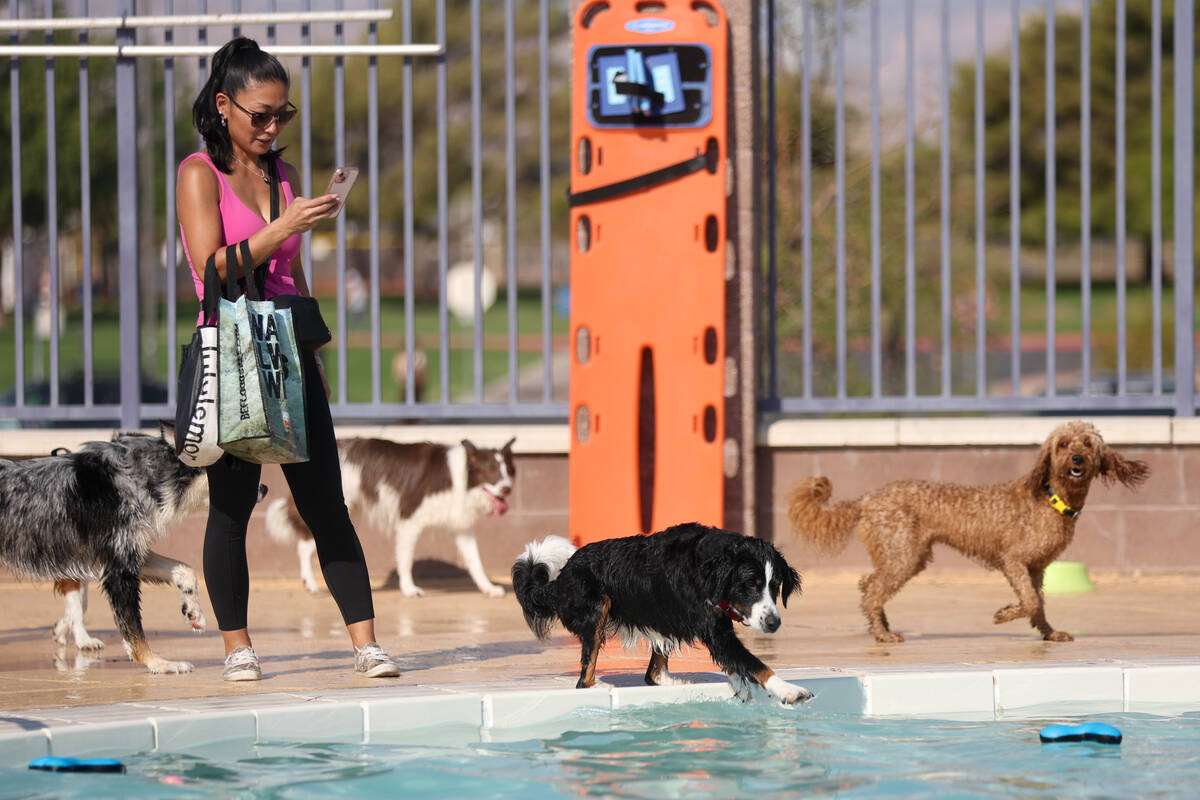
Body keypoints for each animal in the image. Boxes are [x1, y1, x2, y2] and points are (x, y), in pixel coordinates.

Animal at [0, 431, 210, 676]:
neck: (136, 475)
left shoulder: (130, 554)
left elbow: (185, 570)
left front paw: (193, 612)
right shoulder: (119, 572)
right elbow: (134, 631)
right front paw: (159, 663)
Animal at [267, 438, 516, 599]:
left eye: (508, 471)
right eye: (491, 471)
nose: (507, 489)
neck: (460, 478)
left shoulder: (461, 527)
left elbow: (475, 561)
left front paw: (488, 587)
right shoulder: (409, 520)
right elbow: (405, 559)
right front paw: (408, 588)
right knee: (303, 546)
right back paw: (310, 582)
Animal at [511, 525, 811, 705]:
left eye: (775, 586)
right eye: (751, 585)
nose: (773, 622)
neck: (707, 568)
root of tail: (559, 580)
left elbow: (737, 661)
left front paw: (741, 681)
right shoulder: (715, 631)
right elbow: (754, 662)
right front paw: (788, 689)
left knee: (652, 673)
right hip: (597, 609)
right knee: (584, 678)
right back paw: (597, 687)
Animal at [792, 419, 1147, 642]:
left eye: (1087, 443)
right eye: (1062, 444)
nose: (1076, 458)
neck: (1050, 497)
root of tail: (867, 498)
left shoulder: (1036, 568)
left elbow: (1038, 603)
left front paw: (1049, 633)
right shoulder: (1013, 561)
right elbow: (1031, 601)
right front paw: (1004, 615)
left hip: (902, 555)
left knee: (868, 586)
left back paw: (879, 625)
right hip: (903, 555)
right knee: (873, 590)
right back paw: (882, 634)